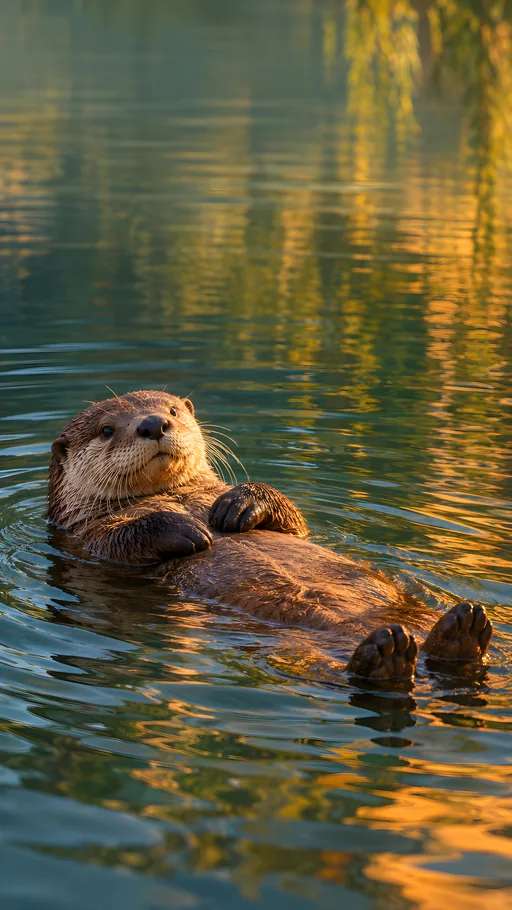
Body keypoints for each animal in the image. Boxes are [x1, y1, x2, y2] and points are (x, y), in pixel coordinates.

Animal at [48, 390, 493, 680]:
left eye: (172, 409)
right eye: (107, 429)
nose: (154, 423)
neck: (178, 497)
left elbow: (296, 521)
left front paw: (238, 505)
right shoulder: (85, 538)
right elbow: (122, 541)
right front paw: (187, 529)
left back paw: (460, 631)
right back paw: (393, 655)